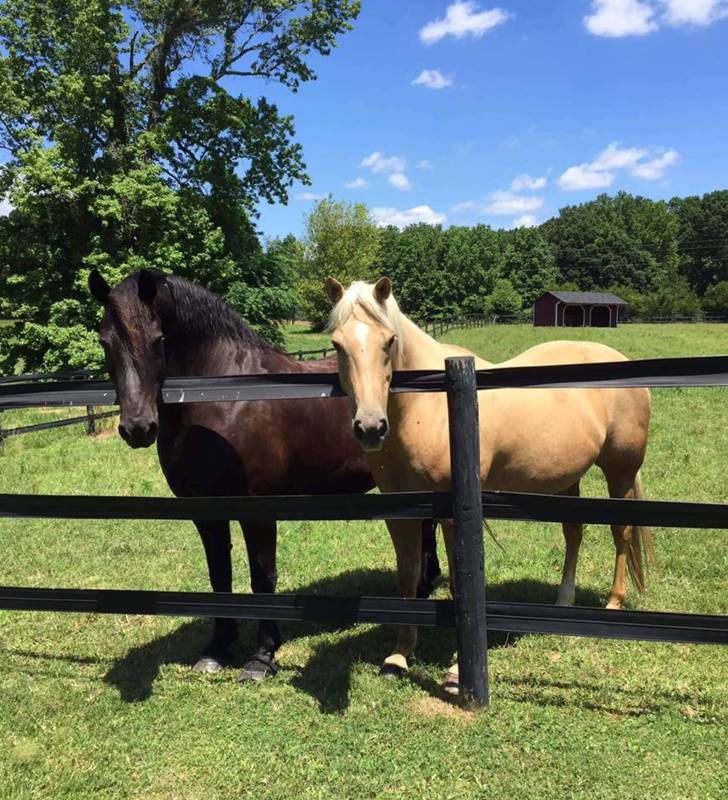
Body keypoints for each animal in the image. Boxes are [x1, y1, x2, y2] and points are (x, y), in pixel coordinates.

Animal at [88, 268, 440, 682]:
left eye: (158, 340)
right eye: (105, 341)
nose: (138, 428)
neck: (225, 400)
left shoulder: (258, 509)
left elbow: (262, 577)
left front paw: (262, 656)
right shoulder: (203, 510)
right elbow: (219, 576)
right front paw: (217, 648)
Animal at [325, 276, 654, 693]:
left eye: (389, 341)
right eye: (338, 344)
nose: (370, 428)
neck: (429, 406)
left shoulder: (451, 514)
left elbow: (458, 584)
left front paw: (455, 669)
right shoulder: (400, 511)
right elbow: (408, 576)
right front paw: (399, 656)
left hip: (620, 471)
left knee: (621, 531)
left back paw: (613, 603)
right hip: (568, 481)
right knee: (574, 533)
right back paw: (564, 604)